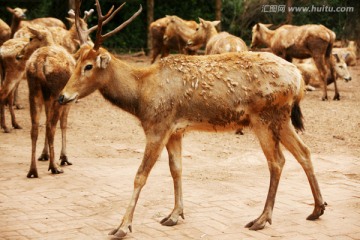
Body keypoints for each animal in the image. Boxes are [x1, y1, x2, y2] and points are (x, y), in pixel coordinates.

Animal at [58, 0, 326, 239]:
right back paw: (317, 208)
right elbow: (176, 169)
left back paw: (262, 218)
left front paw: (122, 227)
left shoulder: (158, 126)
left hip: (264, 117)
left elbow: (140, 175)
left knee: (277, 161)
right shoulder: (175, 130)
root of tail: (298, 79)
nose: (62, 96)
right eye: (76, 61)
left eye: (89, 66)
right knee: (304, 151)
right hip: (281, 118)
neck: (142, 96)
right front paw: (175, 214)